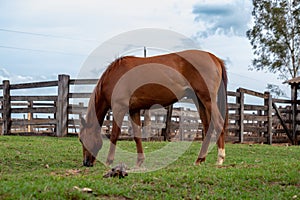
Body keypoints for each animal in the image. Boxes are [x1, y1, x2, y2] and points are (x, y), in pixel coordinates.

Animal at [79, 49, 227, 167]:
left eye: (81, 139)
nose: (86, 163)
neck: (114, 75)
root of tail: (215, 58)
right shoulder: (134, 110)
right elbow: (137, 136)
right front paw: (139, 161)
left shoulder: (119, 108)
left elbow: (115, 135)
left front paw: (109, 161)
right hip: (200, 101)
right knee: (208, 128)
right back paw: (200, 159)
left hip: (207, 100)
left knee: (218, 123)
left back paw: (220, 159)